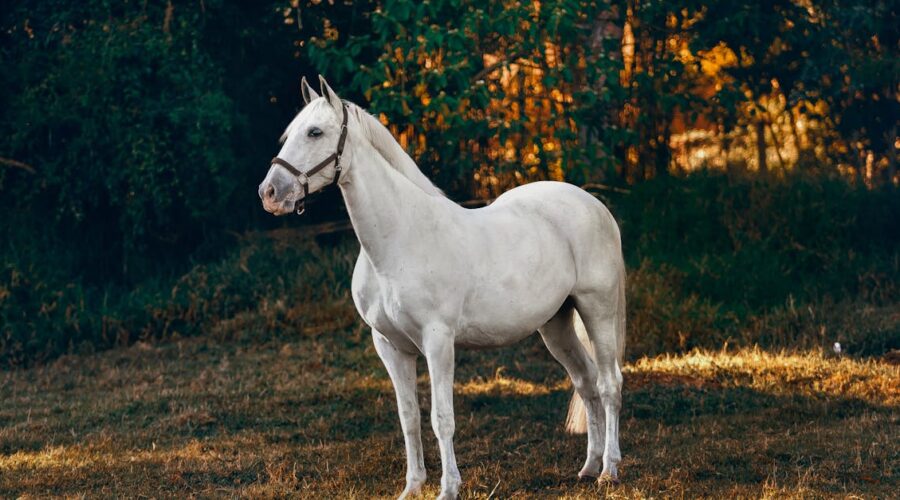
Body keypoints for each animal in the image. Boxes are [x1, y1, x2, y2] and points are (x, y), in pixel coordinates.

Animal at [258, 76, 626, 499]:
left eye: (315, 132)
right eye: (289, 134)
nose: (269, 193)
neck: (399, 239)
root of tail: (594, 205)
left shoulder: (437, 341)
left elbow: (441, 418)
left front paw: (448, 488)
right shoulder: (389, 346)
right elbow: (408, 417)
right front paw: (413, 486)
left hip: (597, 310)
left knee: (609, 383)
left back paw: (609, 470)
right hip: (556, 324)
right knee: (586, 383)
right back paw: (588, 467)